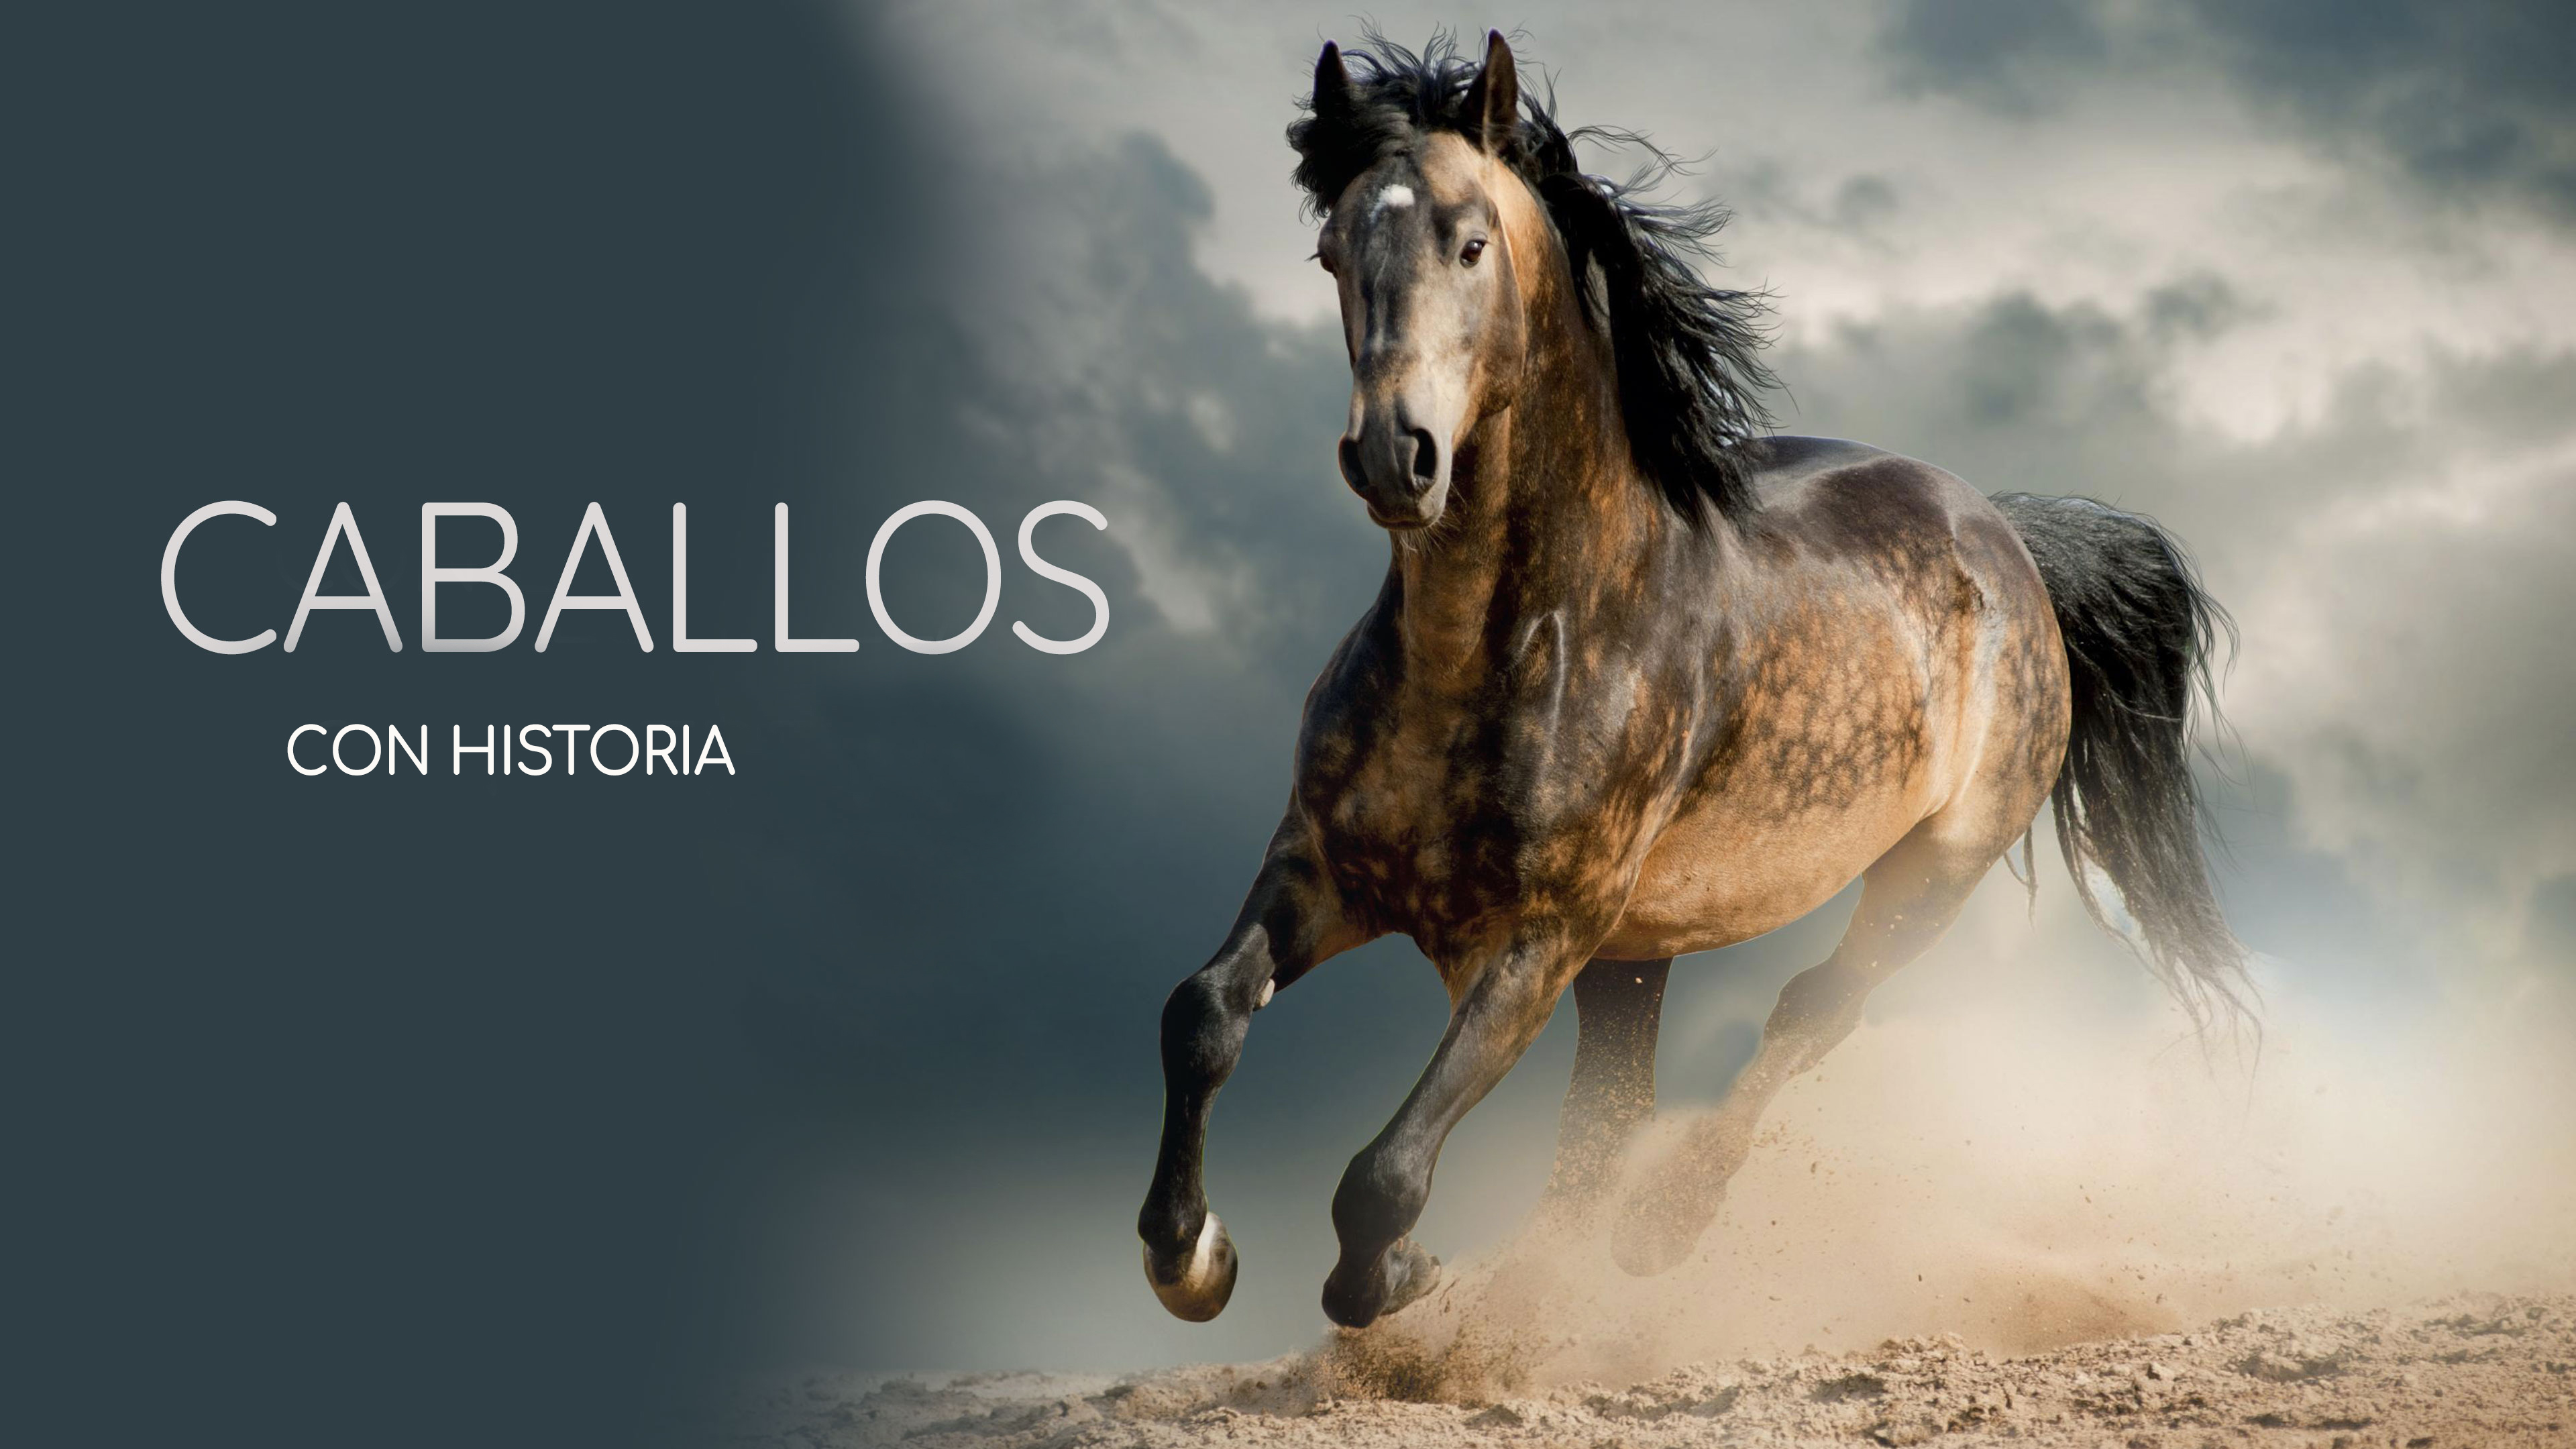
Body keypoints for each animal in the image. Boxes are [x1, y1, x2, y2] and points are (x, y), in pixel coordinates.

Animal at [1138, 31, 2247, 1331]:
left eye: (1470, 242)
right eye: (1330, 251)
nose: (1393, 457)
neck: (1505, 649)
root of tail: (2009, 538)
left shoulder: (1539, 939)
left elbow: (1385, 1173)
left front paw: (1398, 1276)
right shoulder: (1323, 869)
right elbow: (1204, 1014)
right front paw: (1191, 1257)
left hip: (1930, 874)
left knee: (1809, 1012)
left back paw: (1659, 1234)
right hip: (1640, 955)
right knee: (1608, 1115)